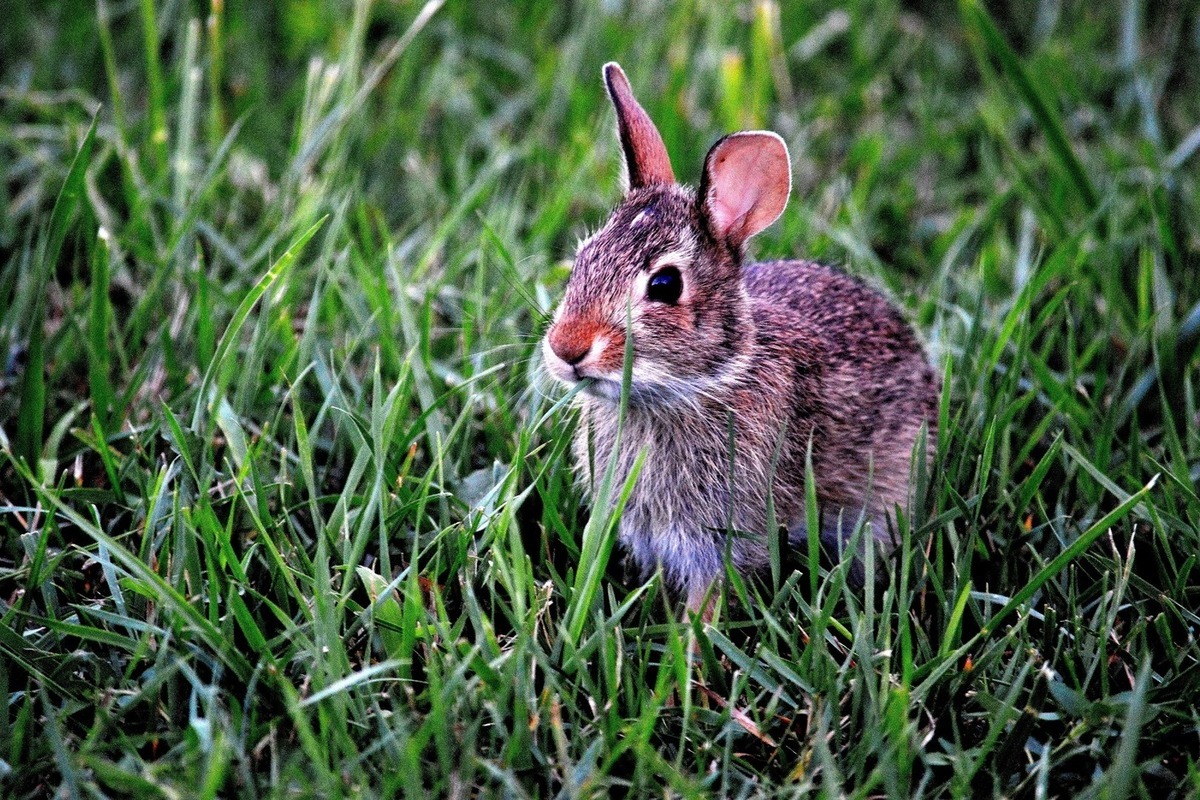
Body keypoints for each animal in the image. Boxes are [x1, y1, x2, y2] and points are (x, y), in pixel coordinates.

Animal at [540, 62, 940, 618]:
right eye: (581, 258)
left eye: (665, 285)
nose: (566, 348)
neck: (707, 381)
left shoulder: (725, 537)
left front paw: (691, 638)